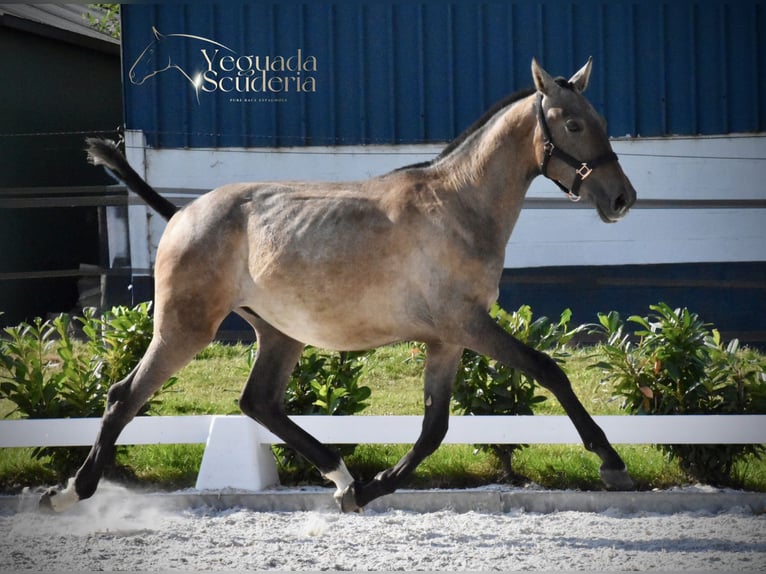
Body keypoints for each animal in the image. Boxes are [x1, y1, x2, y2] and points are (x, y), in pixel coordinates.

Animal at [41, 58, 636, 513]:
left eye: (601, 118)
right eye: (573, 124)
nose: (622, 198)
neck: (457, 205)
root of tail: (183, 214)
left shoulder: (446, 339)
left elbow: (433, 429)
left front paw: (366, 493)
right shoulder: (466, 324)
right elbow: (548, 371)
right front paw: (612, 463)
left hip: (279, 334)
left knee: (258, 402)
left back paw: (343, 476)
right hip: (184, 328)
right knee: (124, 396)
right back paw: (70, 492)